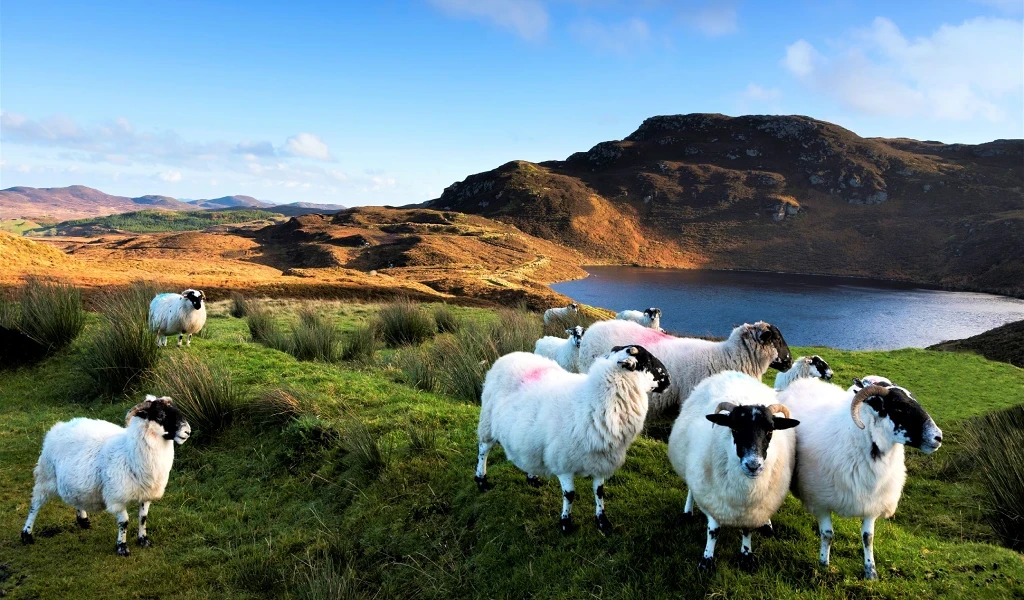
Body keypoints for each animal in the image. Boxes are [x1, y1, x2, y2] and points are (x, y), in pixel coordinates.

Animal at [21, 395, 191, 556]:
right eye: (161, 415)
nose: (187, 431)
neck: (128, 453)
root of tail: (58, 427)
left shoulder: (146, 494)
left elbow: (143, 518)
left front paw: (143, 540)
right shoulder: (116, 497)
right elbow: (124, 522)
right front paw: (122, 547)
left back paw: (83, 520)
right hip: (46, 476)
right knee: (35, 504)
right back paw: (26, 534)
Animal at [475, 345, 670, 533]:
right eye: (648, 361)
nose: (668, 380)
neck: (593, 402)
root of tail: (507, 356)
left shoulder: (600, 460)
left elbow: (599, 492)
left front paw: (602, 521)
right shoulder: (563, 462)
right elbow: (570, 495)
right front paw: (565, 523)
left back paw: (532, 477)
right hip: (487, 422)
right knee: (483, 450)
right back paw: (481, 480)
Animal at [668, 371, 800, 571]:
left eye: (770, 431)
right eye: (735, 428)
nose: (753, 465)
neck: (745, 490)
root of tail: (730, 372)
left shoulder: (752, 509)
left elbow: (747, 530)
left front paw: (746, 555)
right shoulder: (713, 497)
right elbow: (713, 531)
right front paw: (706, 560)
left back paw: (767, 524)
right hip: (690, 465)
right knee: (691, 488)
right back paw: (687, 512)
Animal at [777, 378, 943, 579]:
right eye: (898, 408)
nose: (938, 437)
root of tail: (803, 380)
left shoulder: (872, 502)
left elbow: (868, 538)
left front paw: (870, 571)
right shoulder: (820, 501)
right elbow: (827, 534)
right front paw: (823, 565)